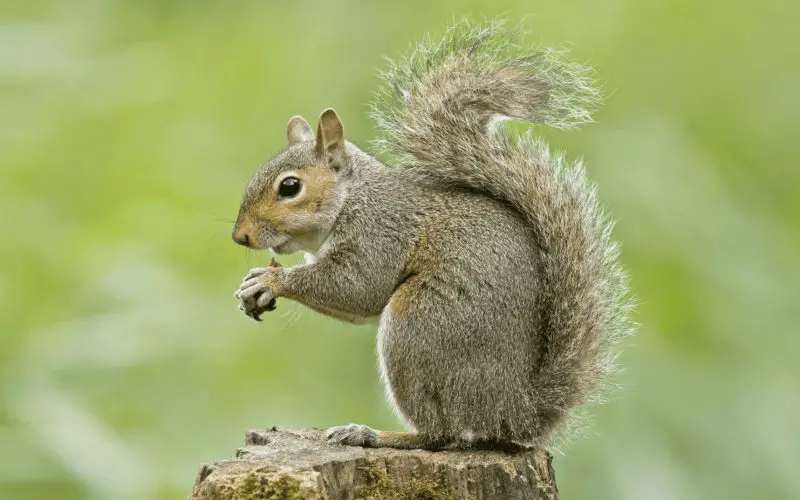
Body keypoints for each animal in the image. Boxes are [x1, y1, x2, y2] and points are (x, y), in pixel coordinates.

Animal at [232, 20, 632, 451]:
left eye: (290, 187)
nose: (240, 236)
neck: (352, 198)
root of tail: (512, 412)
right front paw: (254, 285)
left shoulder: (381, 231)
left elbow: (358, 288)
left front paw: (272, 280)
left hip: (418, 329)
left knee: (441, 434)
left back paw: (374, 434)